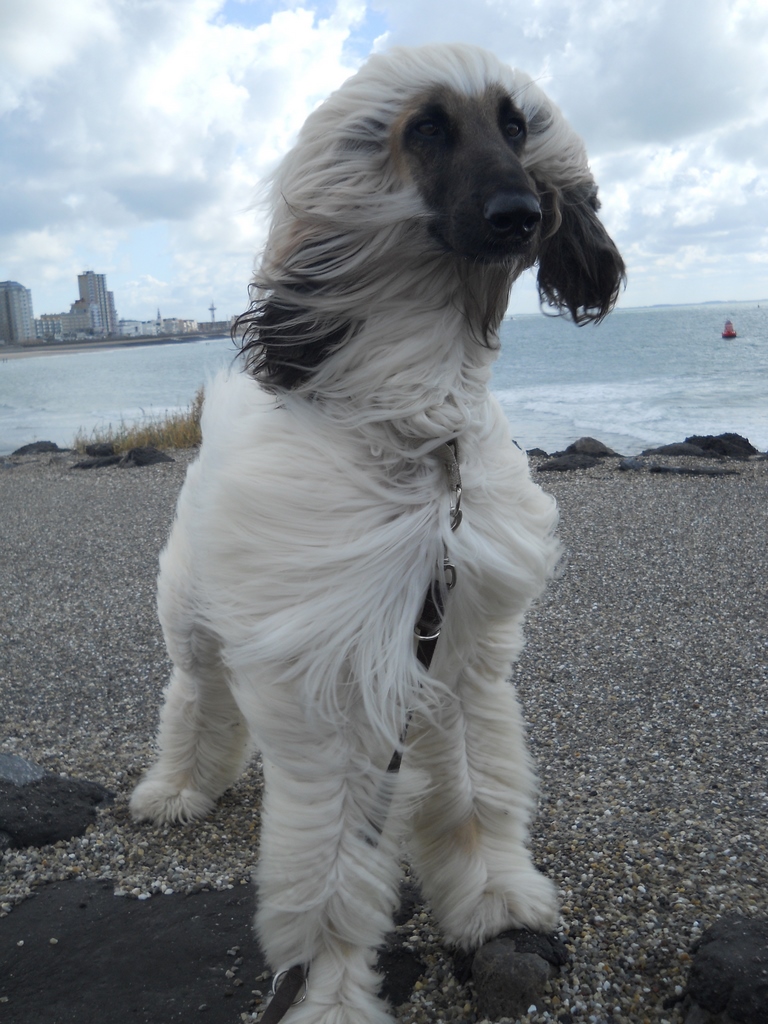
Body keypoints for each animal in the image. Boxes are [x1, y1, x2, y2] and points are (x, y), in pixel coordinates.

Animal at [130, 43, 624, 1024]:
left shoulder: (458, 648)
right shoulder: (329, 681)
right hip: (196, 617)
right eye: (425, 128)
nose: (521, 216)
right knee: (195, 697)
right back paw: (178, 787)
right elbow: (326, 867)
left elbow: (477, 788)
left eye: (515, 124)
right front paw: (325, 992)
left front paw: (490, 895)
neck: (422, 440)